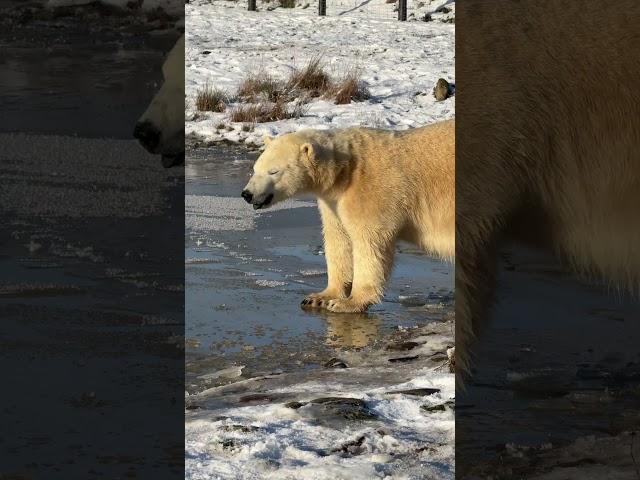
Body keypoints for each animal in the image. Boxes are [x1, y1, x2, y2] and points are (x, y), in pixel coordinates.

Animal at [240, 121, 456, 312]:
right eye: (255, 169)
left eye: (273, 171)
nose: (247, 194)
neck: (346, 169)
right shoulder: (333, 201)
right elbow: (338, 239)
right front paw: (320, 297)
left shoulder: (370, 194)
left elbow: (369, 242)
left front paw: (349, 302)